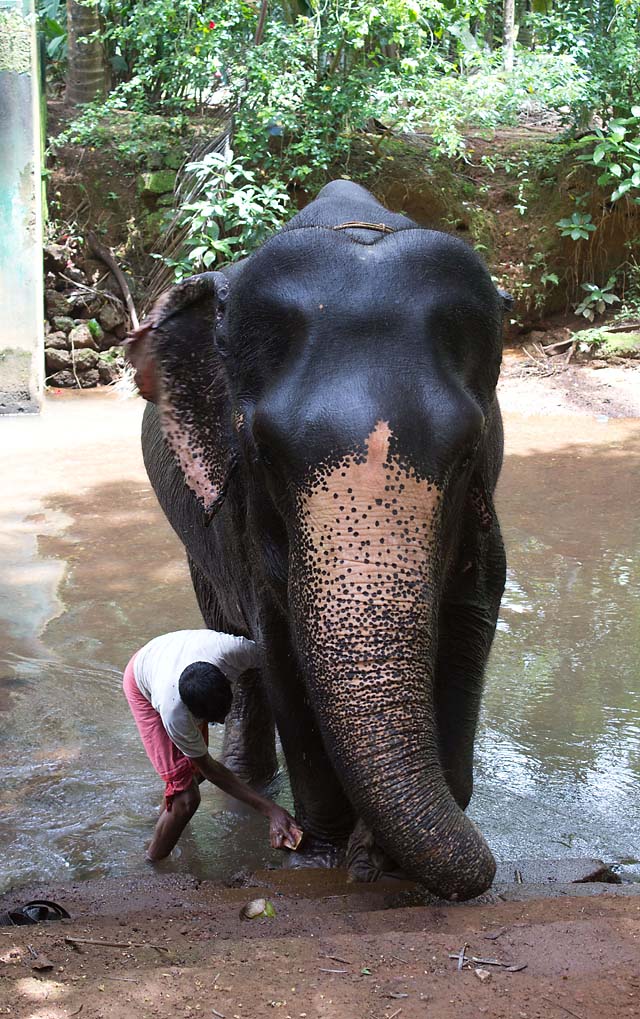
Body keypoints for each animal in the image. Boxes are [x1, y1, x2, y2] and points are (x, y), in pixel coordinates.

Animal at [123, 177, 505, 900]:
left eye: (470, 448)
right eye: (262, 451)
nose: (367, 854)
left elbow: (470, 622)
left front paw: (380, 859)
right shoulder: (244, 516)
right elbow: (277, 649)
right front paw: (319, 856)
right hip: (196, 540)